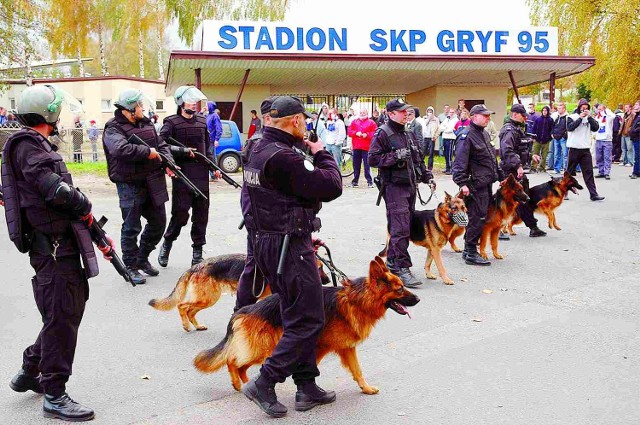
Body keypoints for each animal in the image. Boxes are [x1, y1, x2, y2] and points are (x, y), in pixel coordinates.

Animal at [150, 252, 330, 332]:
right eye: (320, 268)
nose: (328, 281)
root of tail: (197, 265)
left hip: (207, 299)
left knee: (190, 310)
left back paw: (197, 325)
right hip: (208, 298)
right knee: (182, 306)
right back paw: (187, 326)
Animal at [190, 256, 420, 396]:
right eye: (400, 289)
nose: (418, 299)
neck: (357, 300)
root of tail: (245, 309)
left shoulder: (347, 348)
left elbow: (358, 371)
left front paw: (366, 388)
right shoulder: (319, 347)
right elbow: (309, 368)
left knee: (241, 365)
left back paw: (247, 384)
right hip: (263, 348)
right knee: (232, 360)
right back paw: (240, 383)